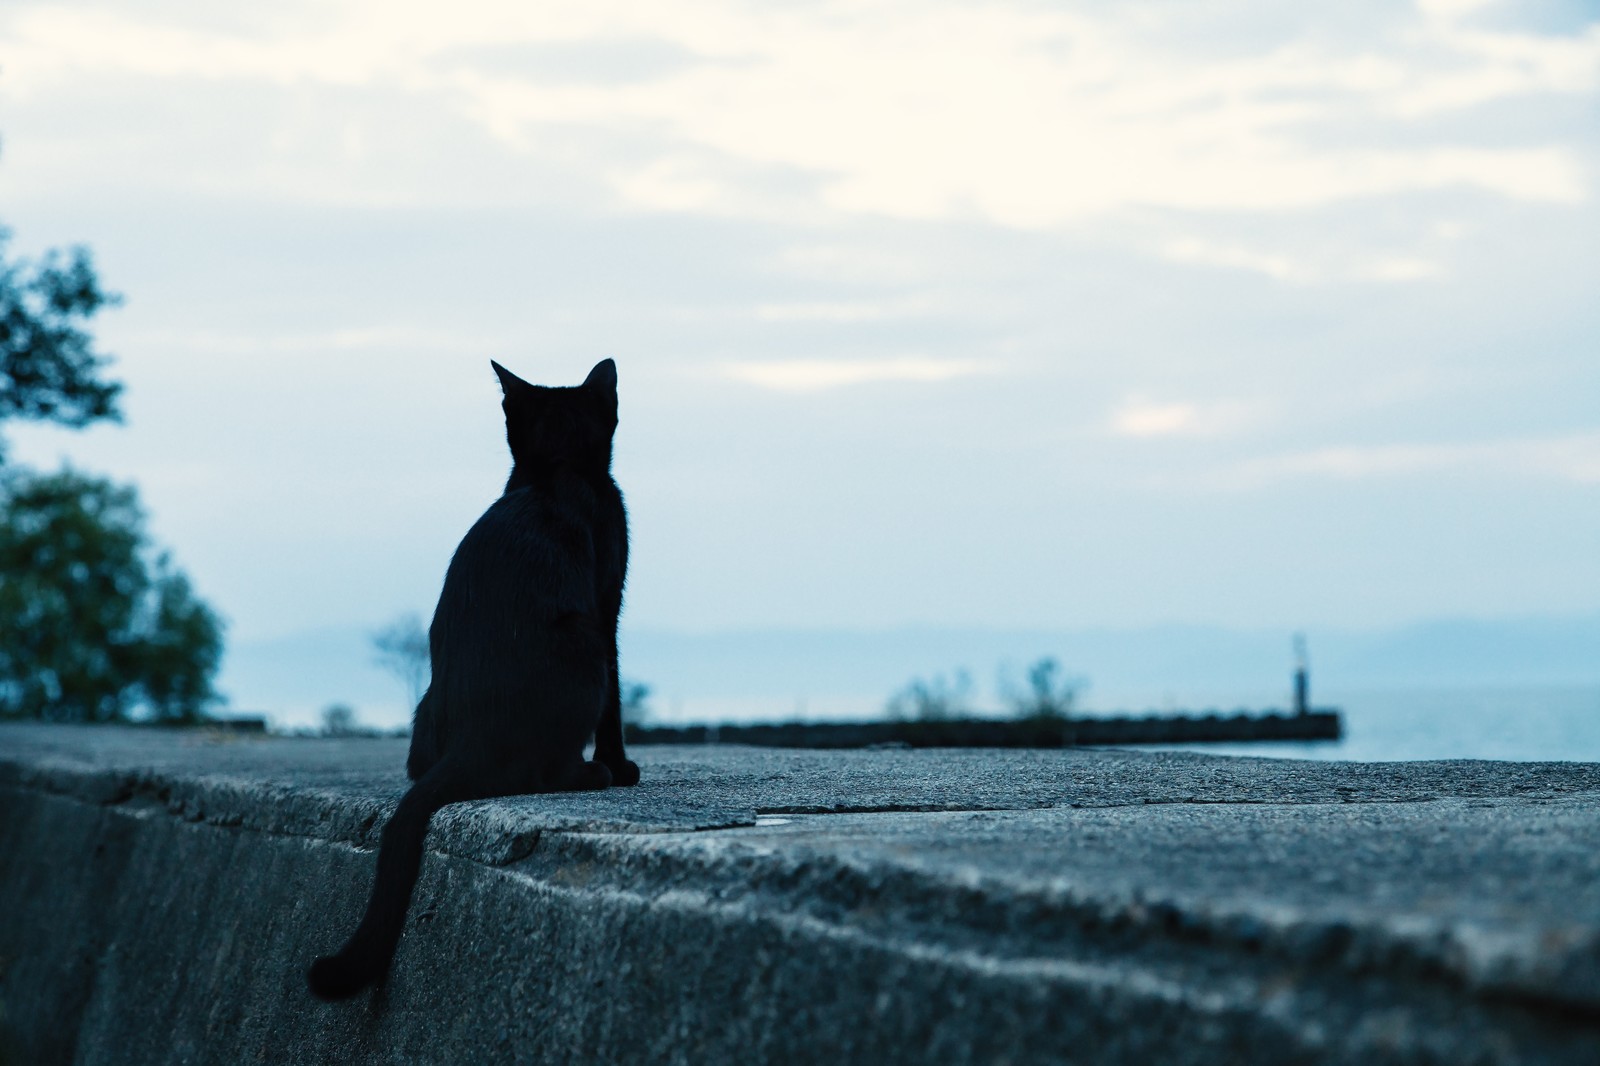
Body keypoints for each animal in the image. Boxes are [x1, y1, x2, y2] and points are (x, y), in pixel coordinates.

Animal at [305, 356, 636, 998]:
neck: (553, 472)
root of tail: (468, 740)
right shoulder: (609, 600)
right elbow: (616, 704)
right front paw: (624, 763)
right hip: (583, 640)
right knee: (544, 770)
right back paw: (596, 773)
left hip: (426, 702)